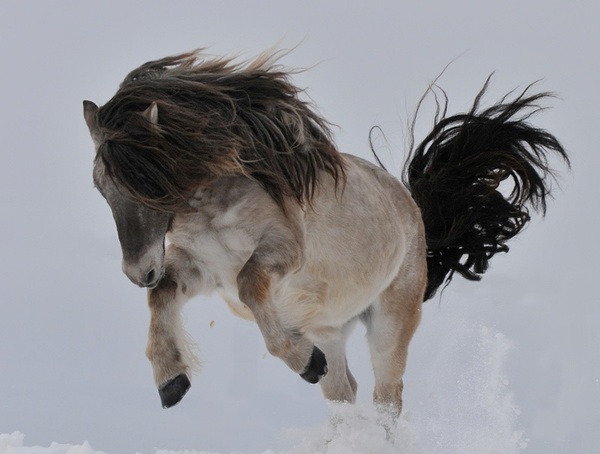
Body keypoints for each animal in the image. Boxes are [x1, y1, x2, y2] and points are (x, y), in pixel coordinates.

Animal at [82, 49, 568, 418]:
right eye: (101, 187)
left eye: (149, 183)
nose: (136, 271)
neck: (211, 206)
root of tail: (414, 214)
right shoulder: (200, 269)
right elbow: (162, 295)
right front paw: (172, 380)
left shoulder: (282, 250)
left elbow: (251, 284)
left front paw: (300, 361)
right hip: (330, 332)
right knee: (343, 391)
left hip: (389, 325)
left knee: (386, 398)